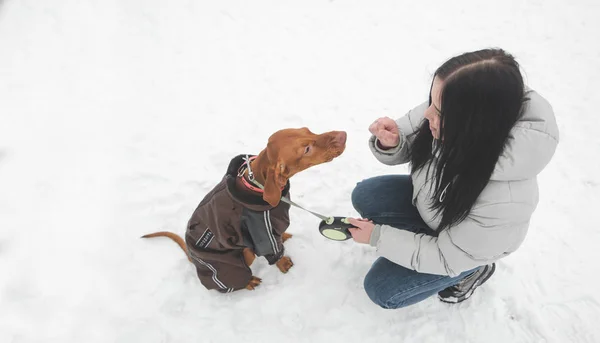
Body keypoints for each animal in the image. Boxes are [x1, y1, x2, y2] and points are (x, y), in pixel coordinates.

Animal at [142, 127, 346, 294]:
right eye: (307, 149)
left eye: (307, 130)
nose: (343, 135)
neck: (257, 185)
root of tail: (194, 258)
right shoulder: (263, 234)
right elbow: (274, 251)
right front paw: (283, 263)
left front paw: (284, 236)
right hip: (242, 255)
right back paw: (247, 282)